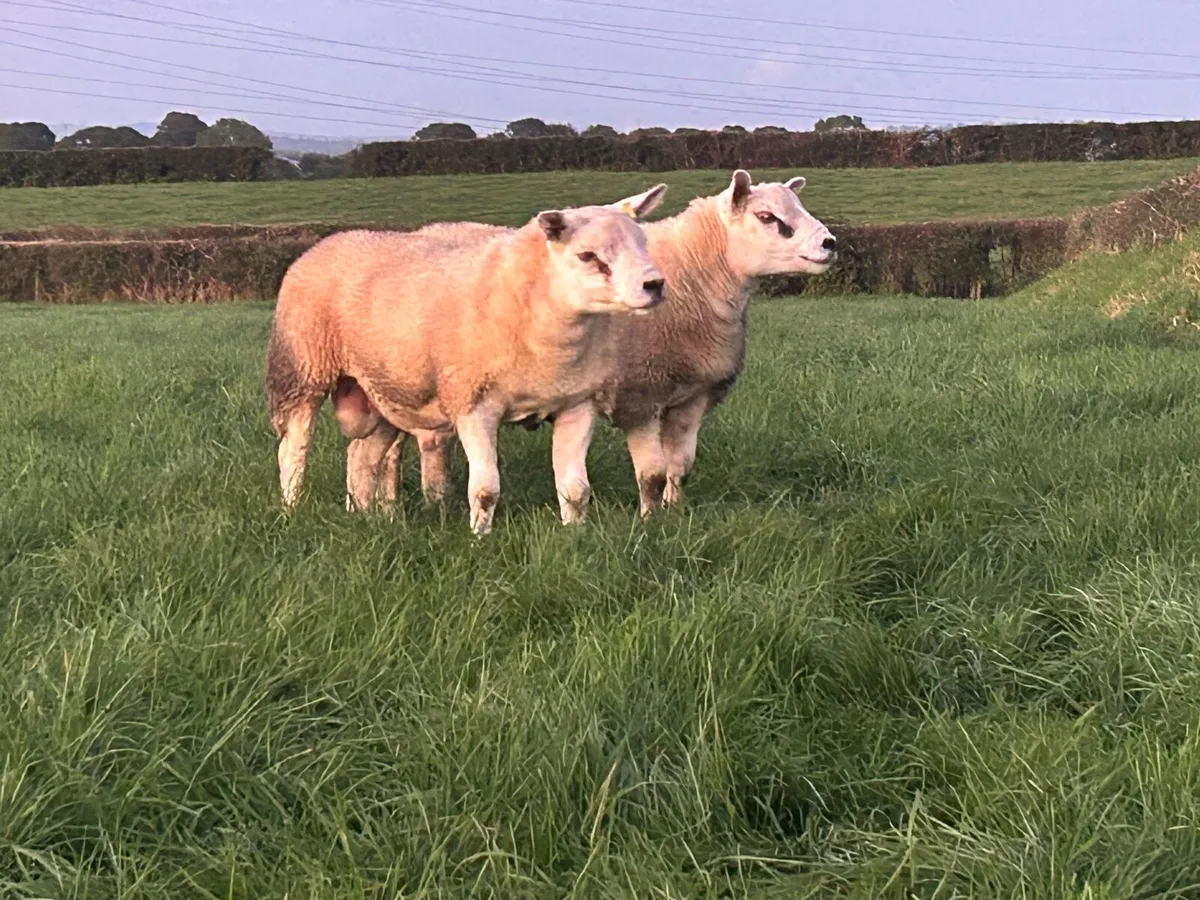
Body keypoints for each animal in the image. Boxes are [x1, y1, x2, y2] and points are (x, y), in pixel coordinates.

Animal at [264, 183, 668, 536]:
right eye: (587, 255)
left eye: (643, 242)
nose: (654, 284)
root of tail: (327, 242)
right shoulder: (473, 403)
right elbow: (486, 490)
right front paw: (479, 538)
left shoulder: (577, 403)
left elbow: (575, 489)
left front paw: (574, 535)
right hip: (302, 370)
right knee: (293, 449)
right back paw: (292, 507)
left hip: (379, 390)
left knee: (363, 455)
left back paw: (366, 517)